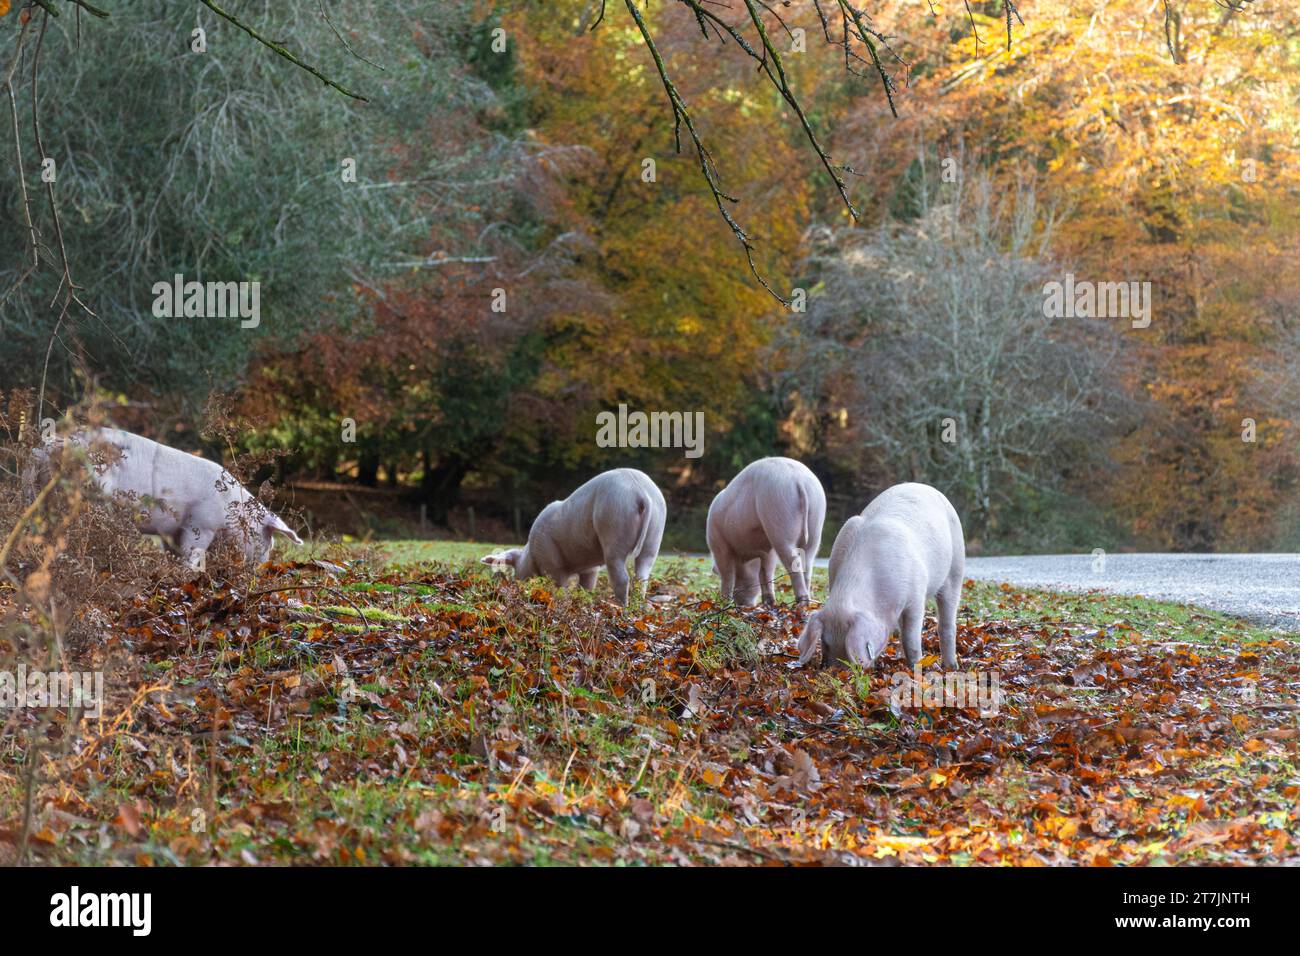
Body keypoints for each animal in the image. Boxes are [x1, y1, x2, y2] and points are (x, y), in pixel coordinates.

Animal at [38, 426, 304, 567]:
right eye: (268, 539)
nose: (260, 567)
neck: (231, 510)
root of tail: (58, 444)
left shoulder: (172, 532)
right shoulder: (200, 525)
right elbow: (192, 553)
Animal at [480, 468, 670, 606]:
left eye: (516, 570)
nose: (518, 587)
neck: (532, 554)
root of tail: (641, 492)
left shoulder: (552, 563)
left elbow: (560, 586)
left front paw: (561, 601)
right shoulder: (590, 568)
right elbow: (586, 586)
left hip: (614, 527)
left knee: (622, 578)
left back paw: (620, 606)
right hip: (655, 534)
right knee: (642, 576)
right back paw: (636, 605)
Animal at [712, 457, 821, 606]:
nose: (743, 604)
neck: (746, 557)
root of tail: (798, 480)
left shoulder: (719, 543)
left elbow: (727, 575)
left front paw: (723, 602)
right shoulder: (767, 550)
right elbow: (765, 572)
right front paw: (768, 603)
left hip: (778, 514)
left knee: (794, 562)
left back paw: (801, 603)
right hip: (816, 521)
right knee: (808, 562)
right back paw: (807, 602)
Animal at [790, 481, 967, 671]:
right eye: (825, 643)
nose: (838, 671)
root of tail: (925, 486)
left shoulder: (916, 597)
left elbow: (910, 638)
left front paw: (915, 668)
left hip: (956, 566)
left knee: (947, 620)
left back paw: (951, 666)